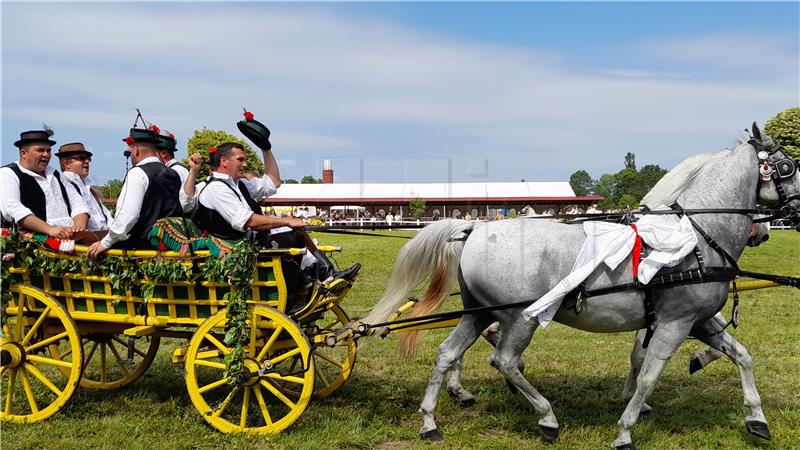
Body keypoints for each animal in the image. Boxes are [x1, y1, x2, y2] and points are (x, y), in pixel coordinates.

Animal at [364, 124, 800, 450]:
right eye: (788, 166)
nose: (783, 219)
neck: (695, 236)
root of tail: (476, 229)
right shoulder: (674, 323)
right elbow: (648, 375)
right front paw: (625, 430)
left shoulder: (697, 319)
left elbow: (741, 356)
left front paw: (756, 418)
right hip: (520, 318)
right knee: (504, 359)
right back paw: (546, 417)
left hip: (478, 314)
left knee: (446, 354)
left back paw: (430, 422)